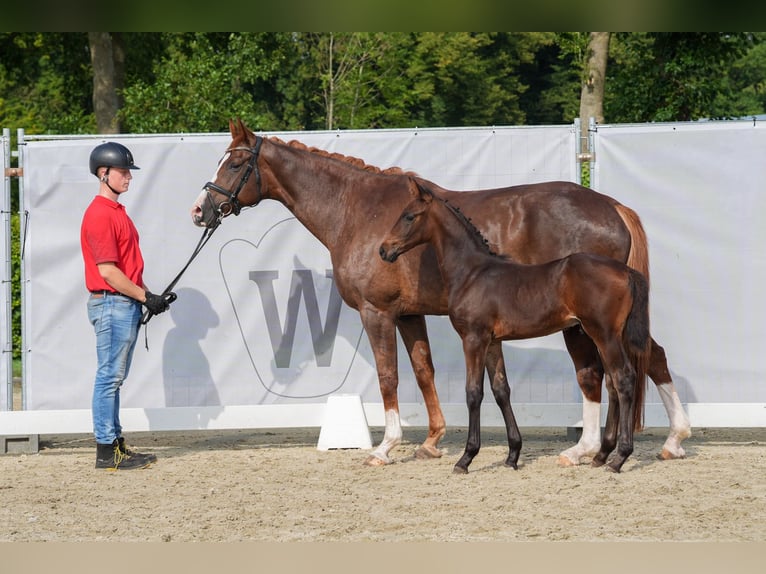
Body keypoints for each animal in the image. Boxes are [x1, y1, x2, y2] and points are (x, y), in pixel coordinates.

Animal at [380, 179, 652, 472]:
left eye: (409, 216)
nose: (383, 250)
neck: (472, 273)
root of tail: (625, 271)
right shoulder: (492, 341)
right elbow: (501, 390)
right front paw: (512, 455)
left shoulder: (473, 338)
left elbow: (473, 392)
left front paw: (466, 458)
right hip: (606, 336)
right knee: (613, 382)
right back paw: (602, 456)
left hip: (604, 334)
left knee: (624, 379)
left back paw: (619, 457)